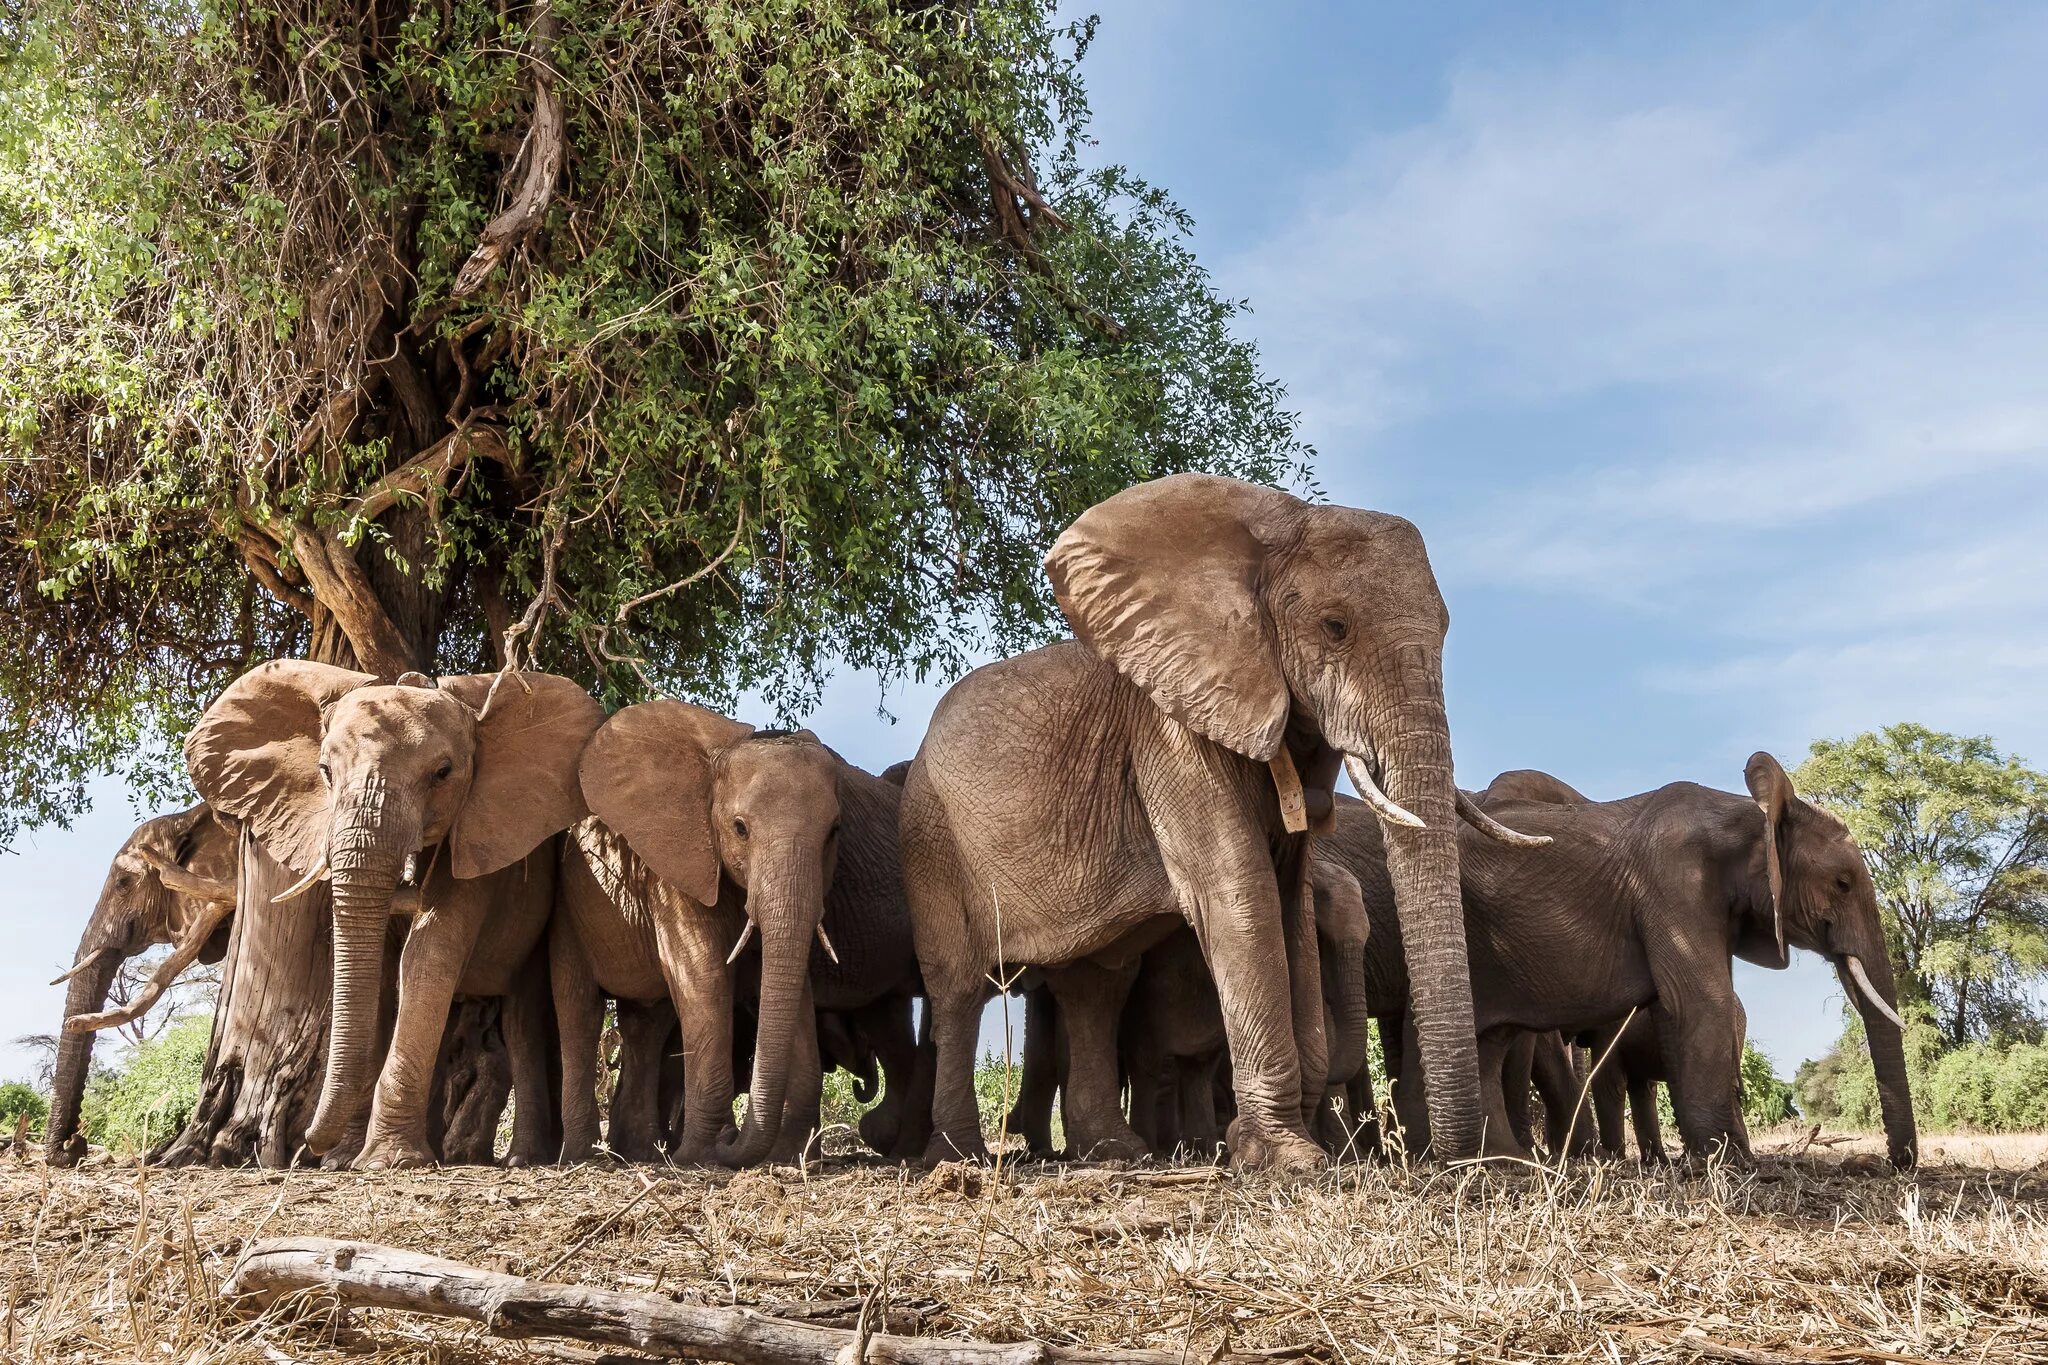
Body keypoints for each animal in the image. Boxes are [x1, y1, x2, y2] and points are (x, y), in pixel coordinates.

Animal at [185, 658, 602, 1162]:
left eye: (443, 772)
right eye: (325, 771)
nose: (304, 1144)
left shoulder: (478, 834)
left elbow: (429, 952)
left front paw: (387, 1161)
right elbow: (381, 974)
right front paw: (343, 1160)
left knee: (522, 1022)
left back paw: (523, 1158)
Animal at [577, 703, 929, 1162]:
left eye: (834, 832)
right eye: (739, 828)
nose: (731, 1139)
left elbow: (784, 982)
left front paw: (780, 1156)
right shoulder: (678, 860)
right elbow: (704, 975)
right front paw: (701, 1156)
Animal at [897, 474, 1540, 1170]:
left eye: (1446, 629)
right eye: (1335, 627)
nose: (1463, 1166)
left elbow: (1288, 901)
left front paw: (1289, 1147)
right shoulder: (1170, 733)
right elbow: (1239, 890)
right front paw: (1287, 1160)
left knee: (1094, 987)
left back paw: (1116, 1153)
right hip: (929, 835)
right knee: (959, 987)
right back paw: (956, 1158)